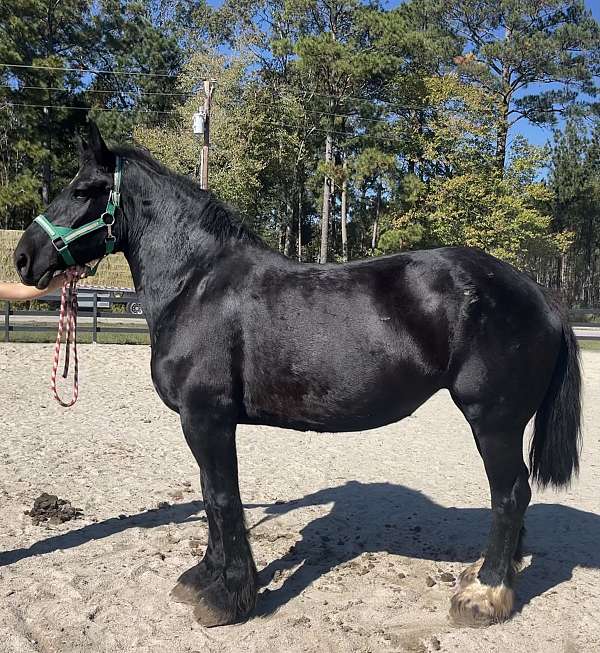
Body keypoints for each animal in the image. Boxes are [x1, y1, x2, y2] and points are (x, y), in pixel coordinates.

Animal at [12, 122, 580, 628]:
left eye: (83, 190)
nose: (22, 257)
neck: (197, 285)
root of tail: (539, 294)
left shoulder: (206, 418)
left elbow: (223, 497)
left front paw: (227, 599)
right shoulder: (204, 424)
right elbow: (211, 496)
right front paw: (204, 577)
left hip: (494, 421)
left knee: (510, 494)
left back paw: (485, 595)